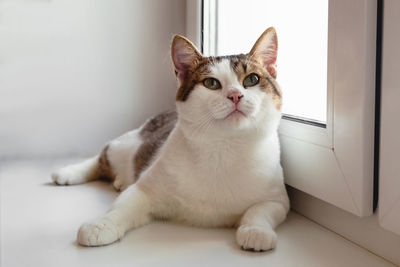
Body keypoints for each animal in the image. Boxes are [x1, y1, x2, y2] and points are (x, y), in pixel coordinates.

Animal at [52, 27, 290, 253]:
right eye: (211, 83)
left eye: (252, 79)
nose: (235, 95)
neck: (224, 147)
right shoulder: (145, 189)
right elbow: (121, 208)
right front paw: (101, 225)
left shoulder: (277, 199)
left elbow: (259, 211)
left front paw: (256, 231)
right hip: (126, 145)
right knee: (102, 156)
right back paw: (68, 173)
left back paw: (118, 180)